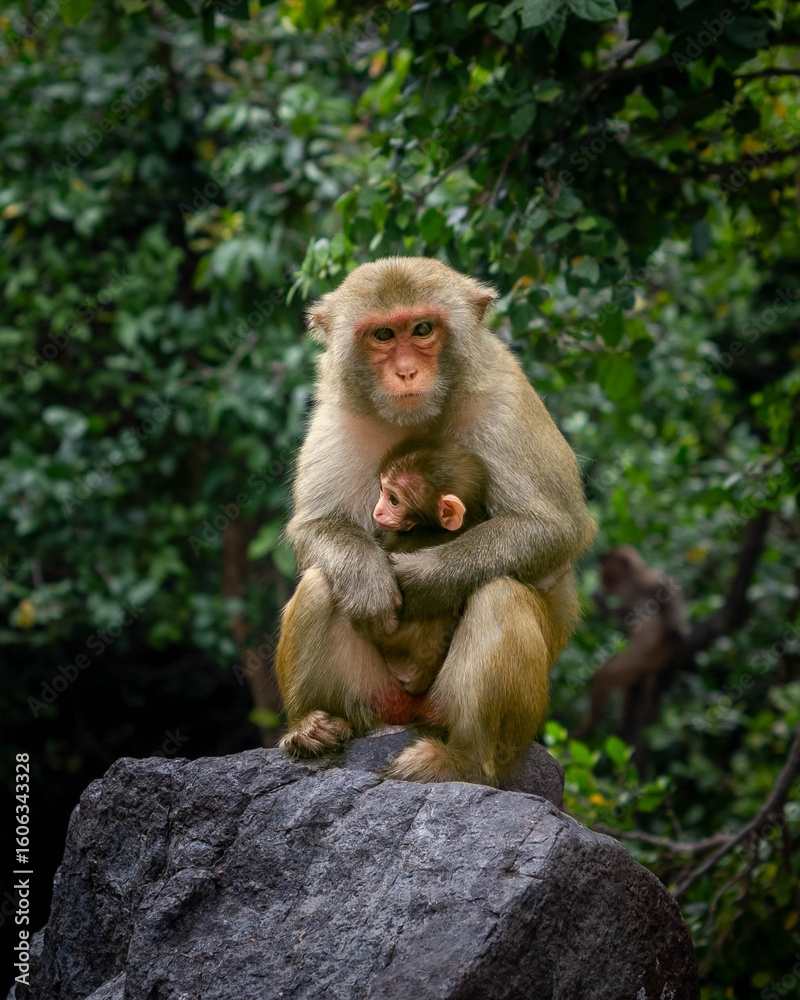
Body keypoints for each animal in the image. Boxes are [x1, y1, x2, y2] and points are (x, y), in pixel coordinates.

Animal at [275, 256, 598, 786]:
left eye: (423, 329)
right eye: (384, 334)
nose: (407, 371)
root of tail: (412, 712)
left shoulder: (507, 401)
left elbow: (555, 527)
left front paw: (422, 579)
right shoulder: (336, 417)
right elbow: (316, 526)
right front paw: (368, 579)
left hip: (467, 714)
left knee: (501, 593)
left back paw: (465, 762)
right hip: (375, 700)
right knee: (321, 583)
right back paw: (313, 727)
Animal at [575, 545, 686, 739]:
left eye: (605, 571)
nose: (603, 583)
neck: (632, 584)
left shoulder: (649, 581)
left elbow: (669, 588)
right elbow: (627, 617)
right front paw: (600, 602)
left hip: (640, 660)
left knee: (604, 675)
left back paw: (591, 724)